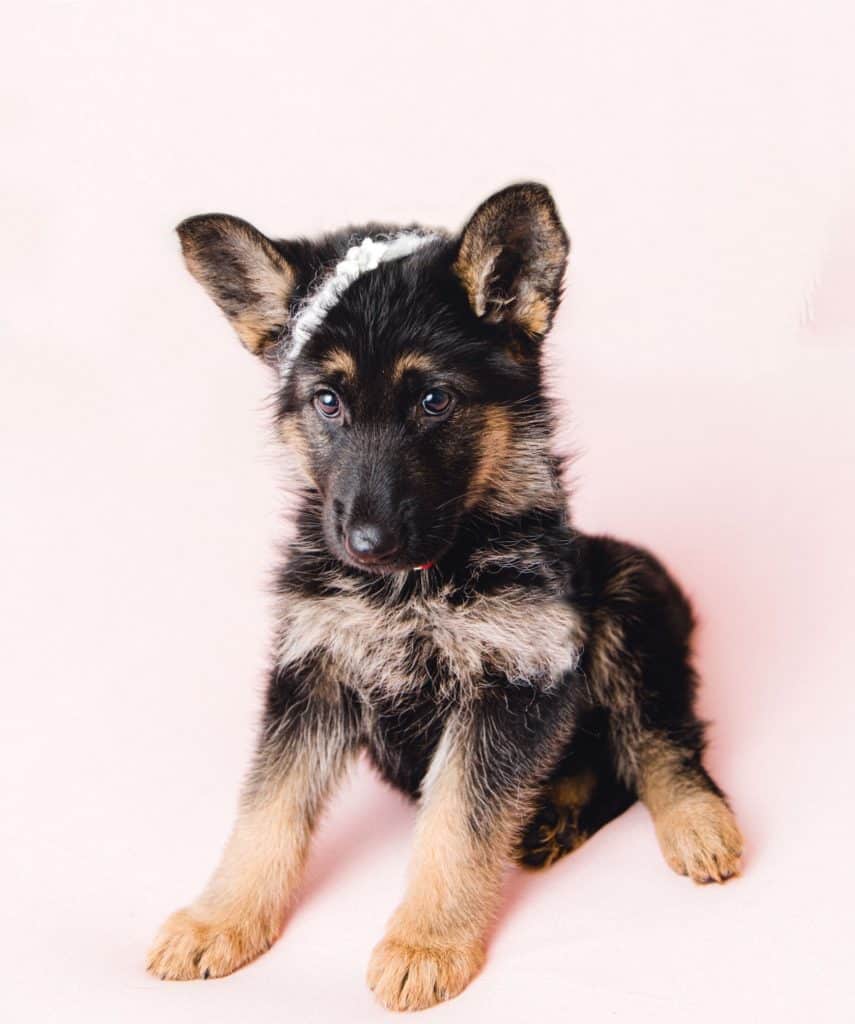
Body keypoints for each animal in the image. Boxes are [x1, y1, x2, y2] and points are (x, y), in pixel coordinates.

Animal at [147, 182, 741, 1007]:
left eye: (432, 400)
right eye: (327, 402)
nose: (364, 544)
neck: (414, 586)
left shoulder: (511, 684)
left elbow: (456, 829)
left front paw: (425, 943)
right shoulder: (313, 673)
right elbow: (265, 811)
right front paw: (219, 919)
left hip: (628, 591)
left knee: (659, 736)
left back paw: (696, 824)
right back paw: (553, 815)